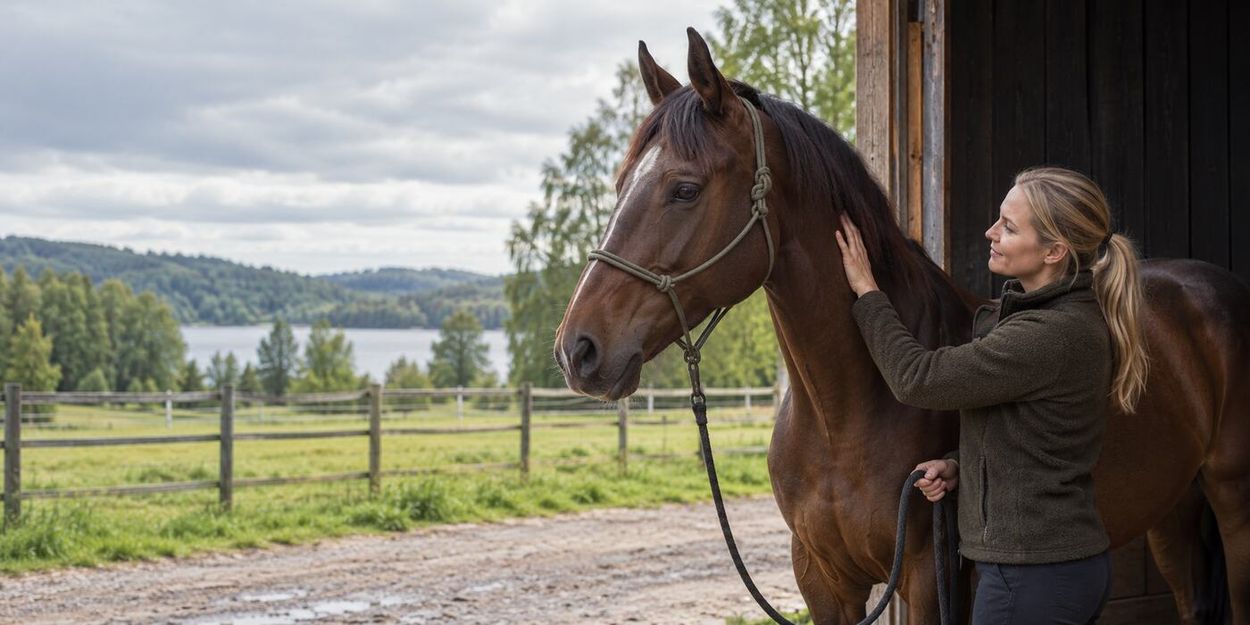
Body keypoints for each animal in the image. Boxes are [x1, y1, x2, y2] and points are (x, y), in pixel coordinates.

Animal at [554, 28, 1250, 625]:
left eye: (685, 189)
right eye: (621, 183)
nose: (576, 351)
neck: (840, 417)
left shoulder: (924, 577)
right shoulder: (822, 579)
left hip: (1233, 502)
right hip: (1173, 507)